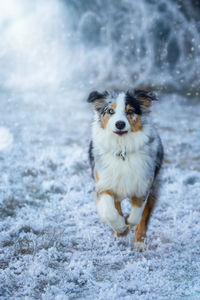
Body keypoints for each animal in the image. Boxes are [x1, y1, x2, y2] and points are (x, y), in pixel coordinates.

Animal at [87, 89, 162, 251]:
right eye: (110, 111)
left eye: (130, 111)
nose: (120, 124)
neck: (122, 150)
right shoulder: (104, 183)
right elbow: (110, 212)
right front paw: (121, 228)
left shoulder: (144, 185)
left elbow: (137, 214)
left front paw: (127, 223)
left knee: (144, 217)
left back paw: (140, 242)